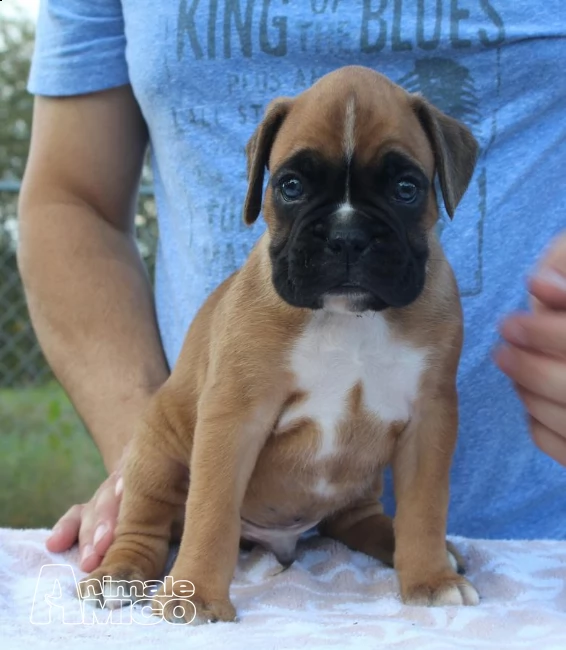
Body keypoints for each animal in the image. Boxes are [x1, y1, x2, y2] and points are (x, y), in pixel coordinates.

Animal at [79, 66, 480, 624]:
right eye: (290, 186)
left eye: (406, 188)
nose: (347, 236)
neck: (348, 316)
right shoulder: (234, 418)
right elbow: (211, 511)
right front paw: (196, 595)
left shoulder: (430, 418)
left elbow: (425, 508)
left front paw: (430, 578)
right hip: (156, 452)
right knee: (146, 521)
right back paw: (120, 573)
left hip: (358, 484)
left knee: (358, 518)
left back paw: (416, 547)